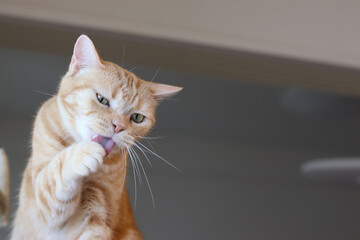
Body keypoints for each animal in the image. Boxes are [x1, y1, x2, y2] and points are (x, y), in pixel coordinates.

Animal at [11, 34, 183, 239]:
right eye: (102, 100)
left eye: (137, 118)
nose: (118, 127)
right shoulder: (41, 206)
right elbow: (56, 172)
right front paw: (82, 154)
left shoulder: (96, 214)